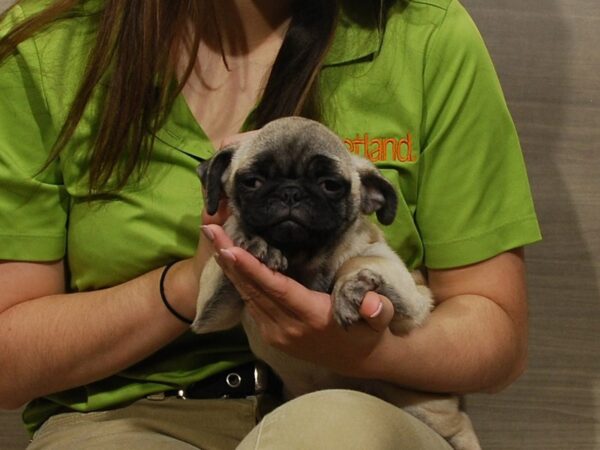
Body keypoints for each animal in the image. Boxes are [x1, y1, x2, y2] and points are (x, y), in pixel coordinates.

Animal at [190, 117, 480, 450]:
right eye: (253, 181)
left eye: (329, 185)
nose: (291, 193)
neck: (305, 260)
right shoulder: (212, 308)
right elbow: (223, 255)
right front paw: (252, 241)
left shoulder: (407, 287)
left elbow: (358, 262)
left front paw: (349, 287)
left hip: (424, 406)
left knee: (459, 427)